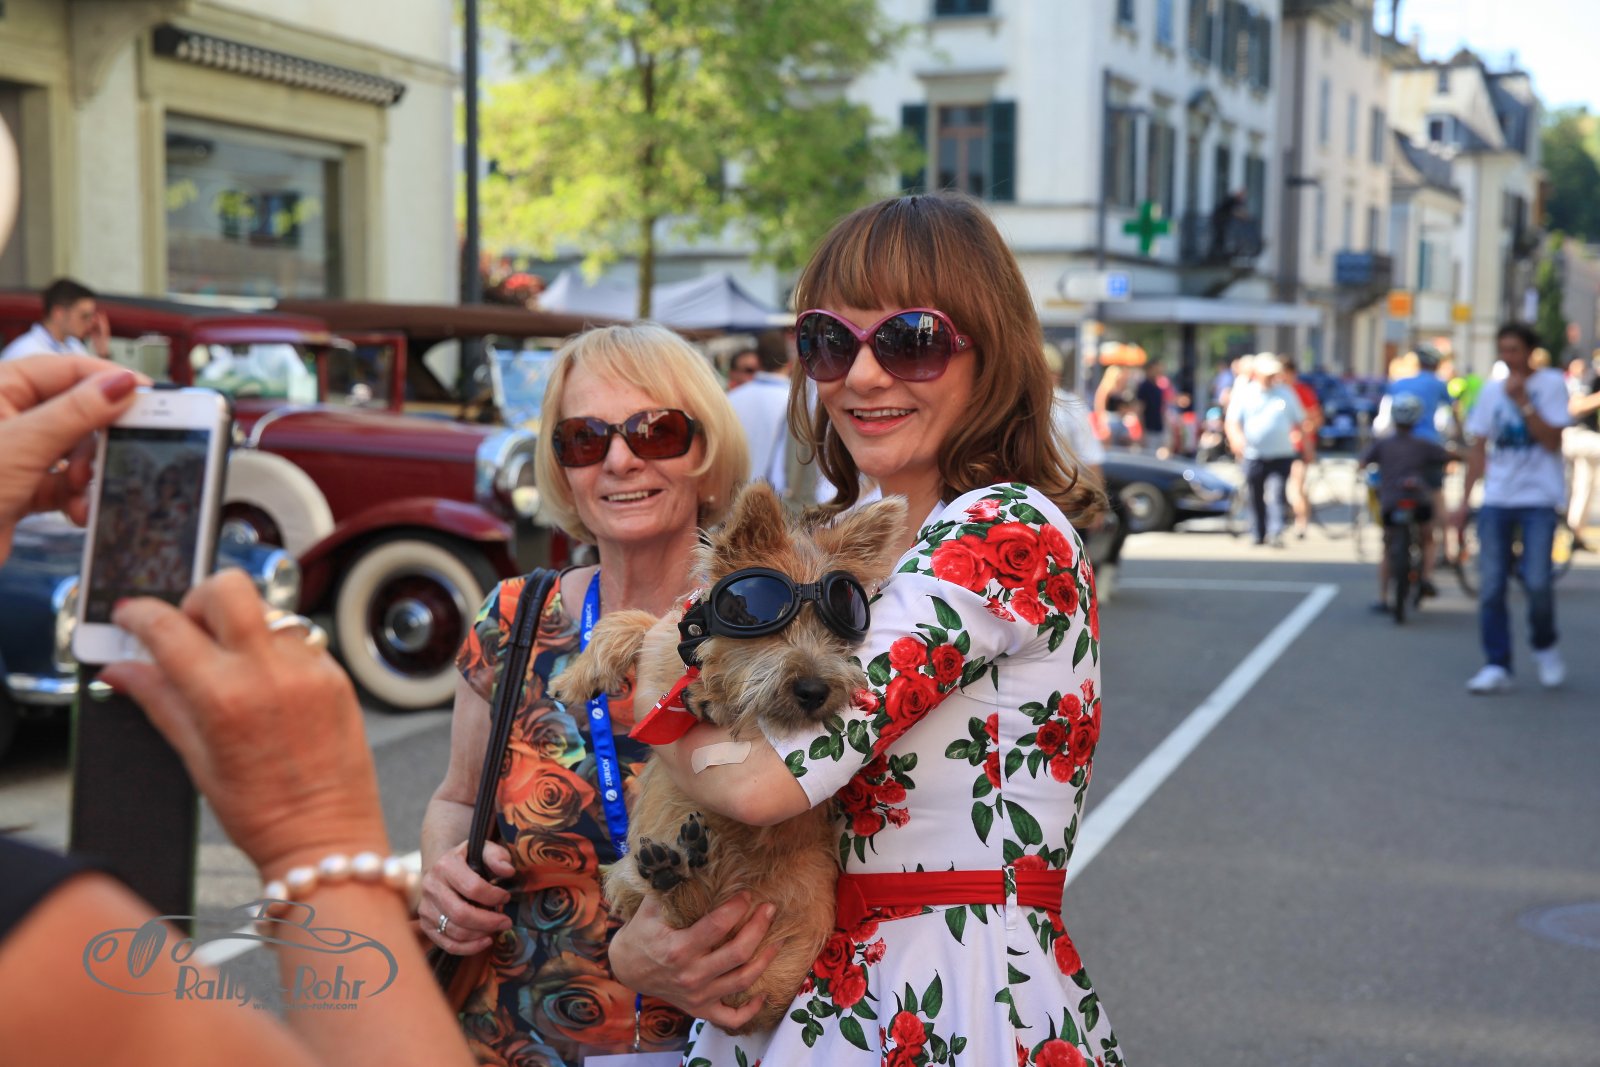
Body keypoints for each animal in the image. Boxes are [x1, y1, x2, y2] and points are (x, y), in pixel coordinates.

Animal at [549, 483, 905, 1033]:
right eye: (765, 621)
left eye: (839, 628)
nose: (814, 691)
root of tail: (750, 1013)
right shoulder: (667, 638)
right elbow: (632, 620)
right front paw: (577, 675)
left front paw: (706, 698)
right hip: (631, 882)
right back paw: (680, 864)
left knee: (693, 919)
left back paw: (682, 870)